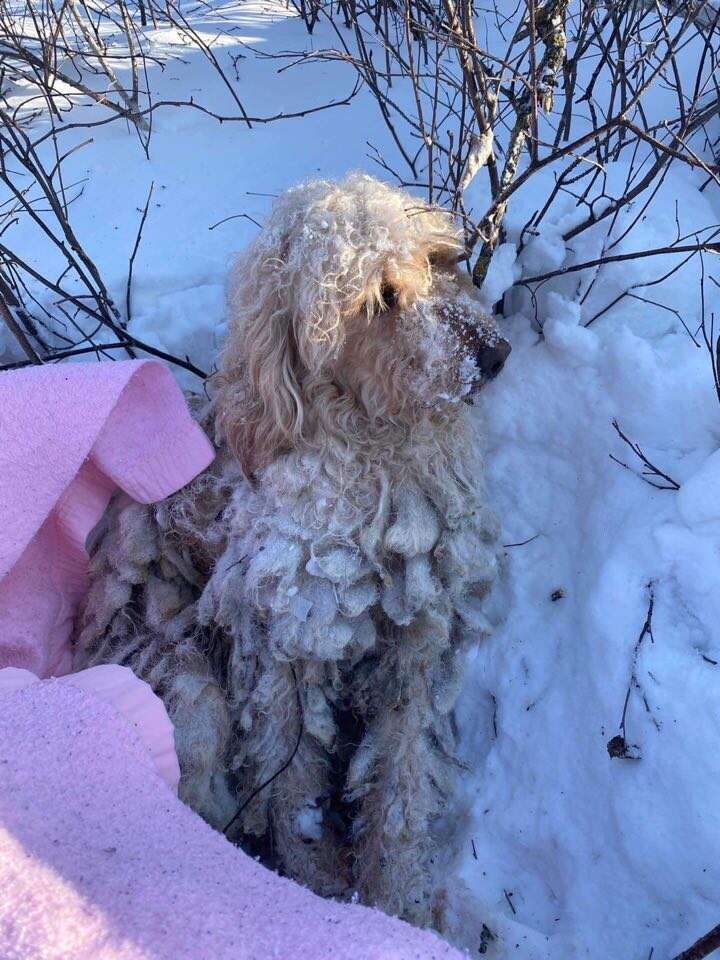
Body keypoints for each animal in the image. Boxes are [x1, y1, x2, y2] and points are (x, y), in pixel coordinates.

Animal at [74, 172, 512, 928]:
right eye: (377, 298)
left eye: (439, 258)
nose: (493, 354)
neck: (378, 448)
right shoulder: (284, 643)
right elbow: (292, 782)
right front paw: (323, 895)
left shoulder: (418, 636)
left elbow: (399, 785)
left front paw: (398, 903)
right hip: (185, 686)